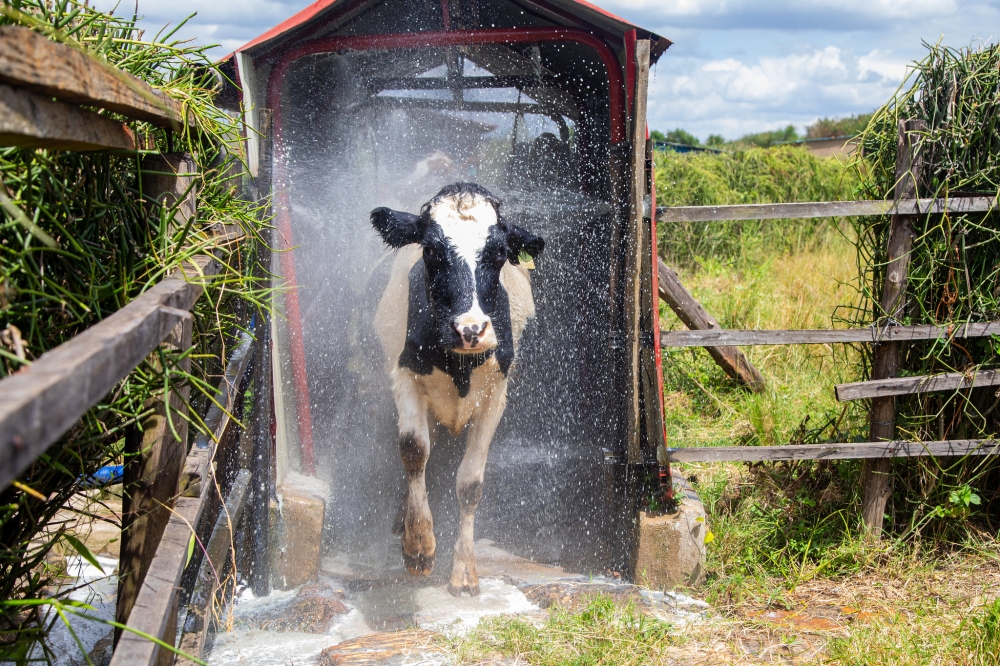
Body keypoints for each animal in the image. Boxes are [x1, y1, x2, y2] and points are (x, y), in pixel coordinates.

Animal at [372, 183, 544, 596]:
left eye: (499, 253)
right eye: (431, 250)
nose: (470, 329)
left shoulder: (496, 395)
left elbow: (470, 484)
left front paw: (464, 570)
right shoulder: (404, 375)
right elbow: (413, 450)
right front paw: (418, 544)